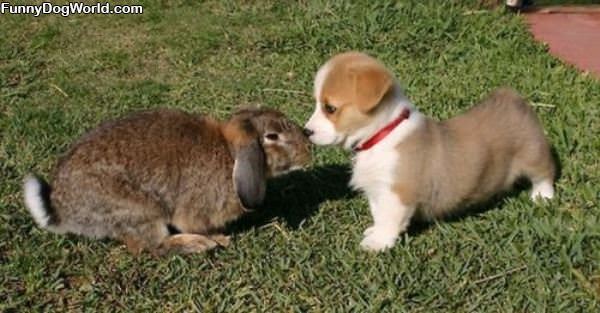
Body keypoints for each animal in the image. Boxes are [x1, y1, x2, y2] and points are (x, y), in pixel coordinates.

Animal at [21, 107, 312, 254]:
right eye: (272, 136)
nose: (307, 149)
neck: (230, 154)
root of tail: (61, 210)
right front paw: (217, 237)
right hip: (141, 211)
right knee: (152, 246)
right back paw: (199, 245)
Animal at [304, 51, 556, 251]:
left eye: (330, 108)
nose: (306, 131)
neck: (382, 134)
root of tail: (512, 97)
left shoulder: (398, 193)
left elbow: (389, 220)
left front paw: (378, 243)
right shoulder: (376, 190)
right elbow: (378, 215)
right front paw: (374, 231)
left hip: (533, 154)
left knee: (544, 173)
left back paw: (542, 197)